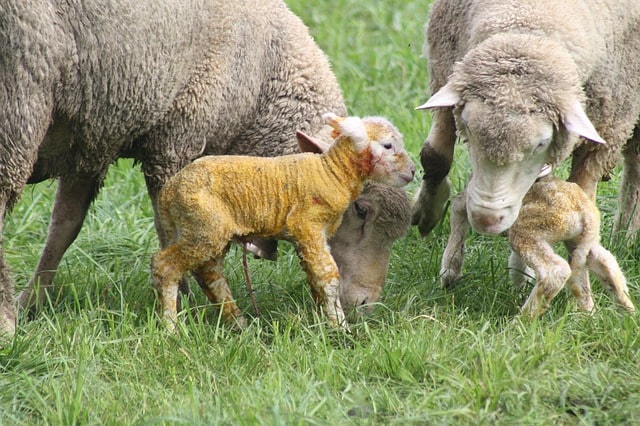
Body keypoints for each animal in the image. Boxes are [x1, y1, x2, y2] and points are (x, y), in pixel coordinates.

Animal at [153, 113, 418, 330]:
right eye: (388, 145)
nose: (413, 171)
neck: (330, 172)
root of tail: (169, 192)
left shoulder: (312, 237)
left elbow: (315, 278)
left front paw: (325, 320)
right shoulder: (308, 226)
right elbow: (329, 276)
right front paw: (341, 328)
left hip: (208, 229)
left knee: (210, 274)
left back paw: (239, 323)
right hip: (204, 228)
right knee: (165, 266)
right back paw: (170, 326)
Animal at [410, 0, 640, 240]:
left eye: (541, 144)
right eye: (468, 130)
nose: (486, 219)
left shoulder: (609, 123)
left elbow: (582, 188)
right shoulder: (445, 74)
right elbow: (434, 157)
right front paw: (426, 213)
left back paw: (625, 234)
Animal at [440, 176, 636, 316]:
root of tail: (583, 210)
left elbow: (457, 207)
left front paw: (448, 274)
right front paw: (519, 286)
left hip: (535, 226)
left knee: (555, 271)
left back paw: (519, 323)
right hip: (581, 236)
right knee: (604, 260)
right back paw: (625, 313)